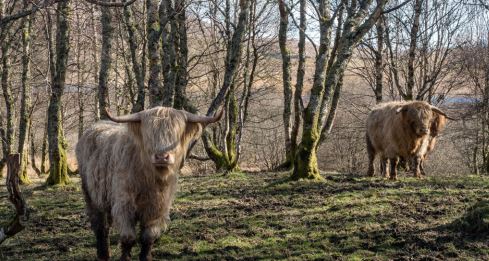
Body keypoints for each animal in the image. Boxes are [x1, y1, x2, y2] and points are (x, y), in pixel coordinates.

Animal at [76, 106, 221, 260]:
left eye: (175, 133)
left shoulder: (158, 207)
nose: (162, 157)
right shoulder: (124, 204)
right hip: (90, 195)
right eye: (149, 135)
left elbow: (148, 237)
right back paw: (103, 254)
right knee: (100, 226)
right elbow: (128, 237)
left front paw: (146, 256)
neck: (150, 180)